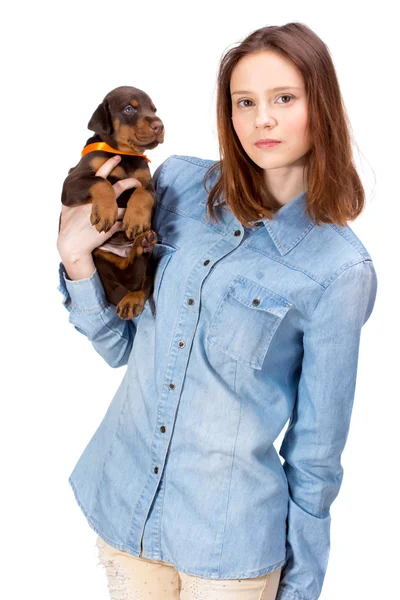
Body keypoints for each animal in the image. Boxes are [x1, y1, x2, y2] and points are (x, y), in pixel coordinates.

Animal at [61, 85, 164, 318]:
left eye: (153, 109)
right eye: (129, 109)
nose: (159, 125)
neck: (124, 155)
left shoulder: (148, 185)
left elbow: (142, 193)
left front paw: (136, 220)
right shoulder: (71, 182)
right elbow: (101, 182)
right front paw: (106, 212)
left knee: (141, 281)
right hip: (100, 256)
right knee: (129, 277)